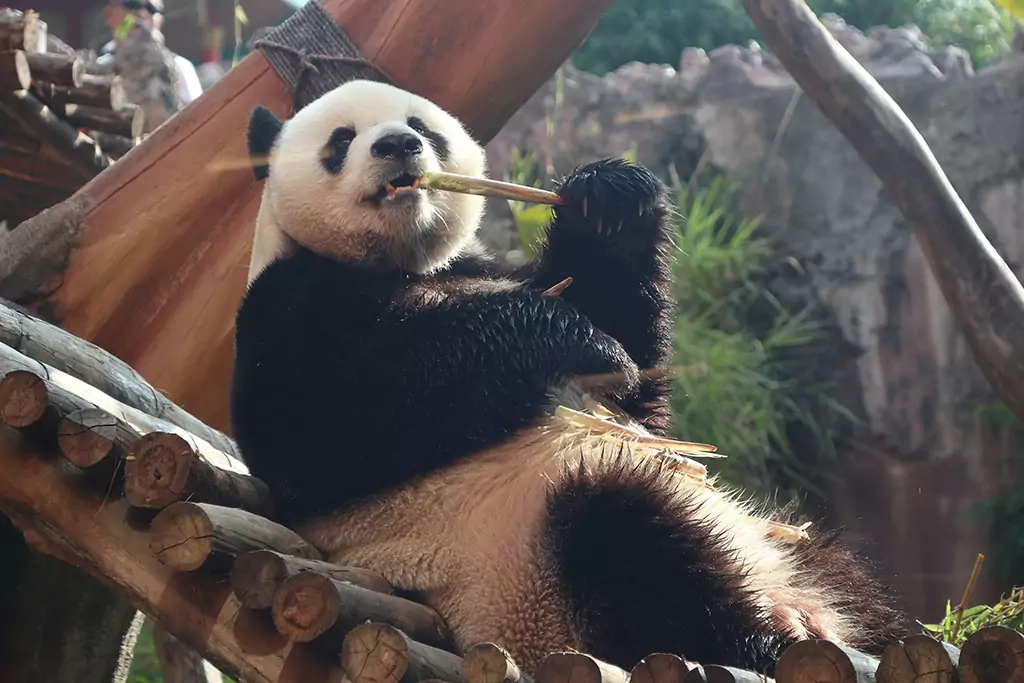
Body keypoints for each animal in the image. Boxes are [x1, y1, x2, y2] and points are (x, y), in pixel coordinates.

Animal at [231, 79, 909, 676]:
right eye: (341, 140)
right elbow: (325, 430)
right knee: (628, 547)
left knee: (842, 579)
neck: (406, 264)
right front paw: (570, 336)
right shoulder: (287, 307)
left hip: (783, 546)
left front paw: (609, 199)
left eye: (422, 126)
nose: (398, 144)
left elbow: (635, 381)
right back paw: (763, 643)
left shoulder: (484, 268)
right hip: (531, 568)